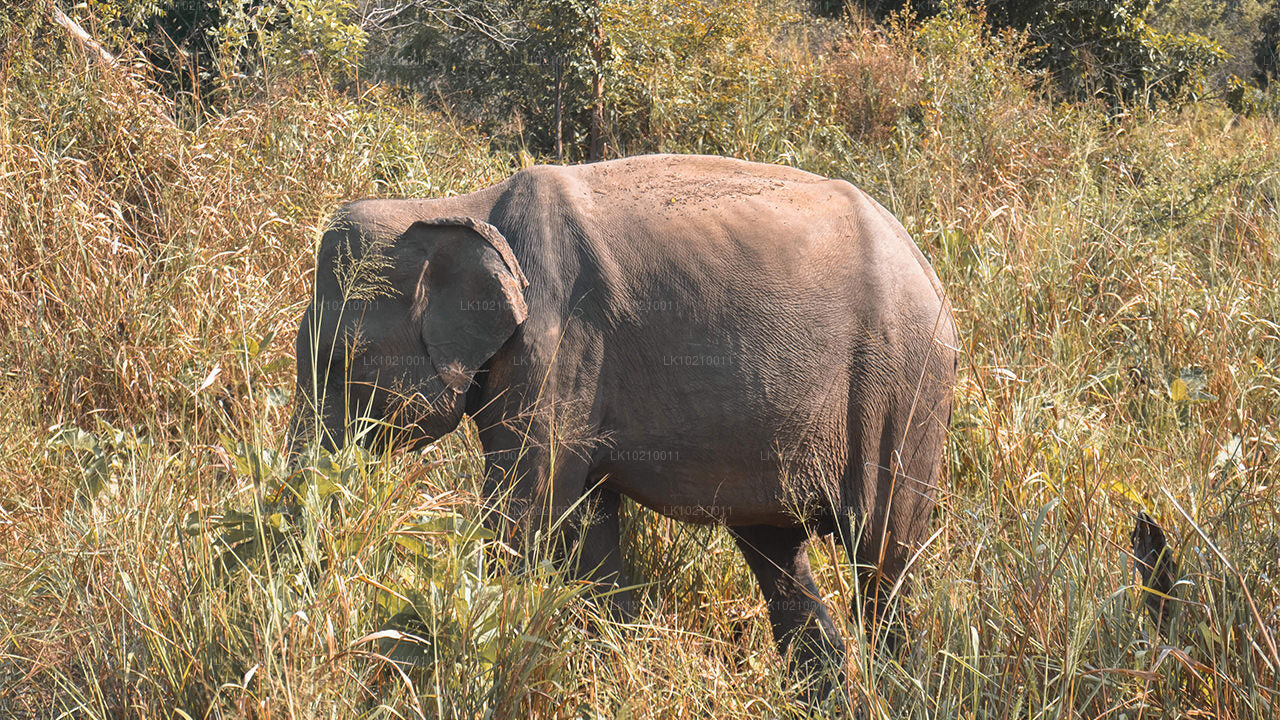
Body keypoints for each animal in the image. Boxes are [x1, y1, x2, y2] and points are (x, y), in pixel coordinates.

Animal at [288, 152, 952, 696]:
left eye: (341, 355)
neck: (456, 208)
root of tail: (927, 268)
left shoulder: (557, 343)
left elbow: (528, 510)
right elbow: (588, 525)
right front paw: (616, 666)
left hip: (899, 389)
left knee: (883, 554)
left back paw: (898, 692)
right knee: (779, 556)